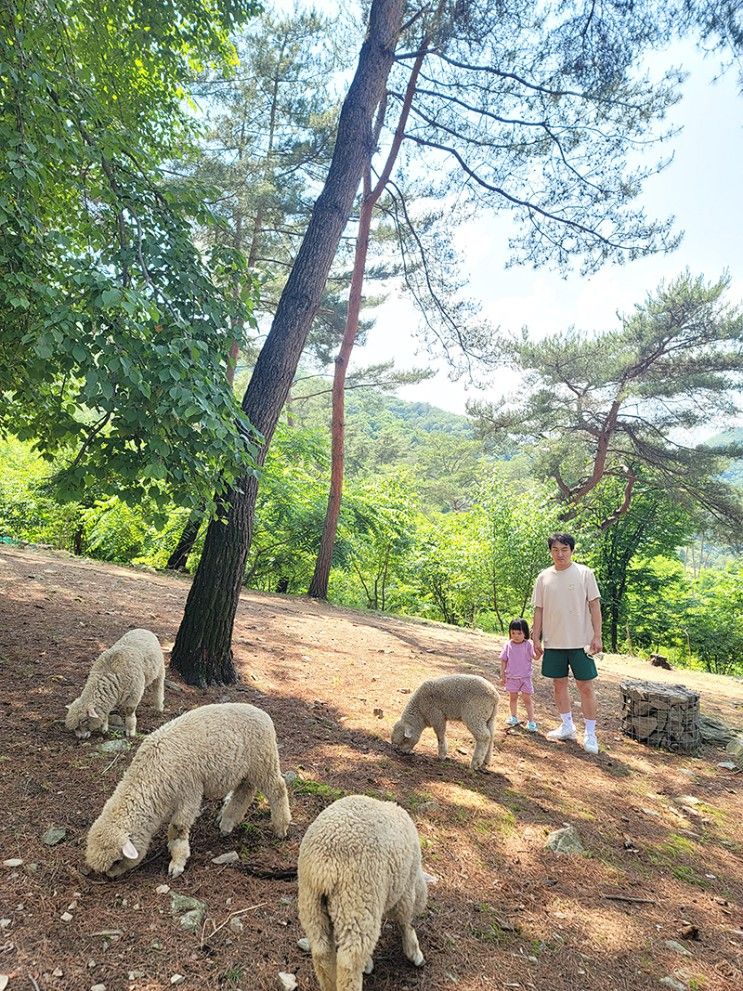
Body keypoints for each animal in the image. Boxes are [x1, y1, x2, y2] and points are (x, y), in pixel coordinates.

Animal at [83, 700, 288, 880]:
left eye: (117, 861)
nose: (110, 877)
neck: (150, 772)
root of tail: (262, 713)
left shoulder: (189, 792)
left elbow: (178, 828)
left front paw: (177, 863)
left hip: (263, 760)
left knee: (277, 789)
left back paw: (281, 827)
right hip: (246, 770)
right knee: (245, 792)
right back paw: (227, 823)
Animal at [298, 796, 436, 991]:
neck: (416, 878)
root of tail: (325, 864)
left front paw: (368, 963)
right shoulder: (406, 892)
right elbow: (405, 922)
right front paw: (414, 953)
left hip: (311, 903)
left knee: (322, 952)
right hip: (358, 902)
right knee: (350, 963)